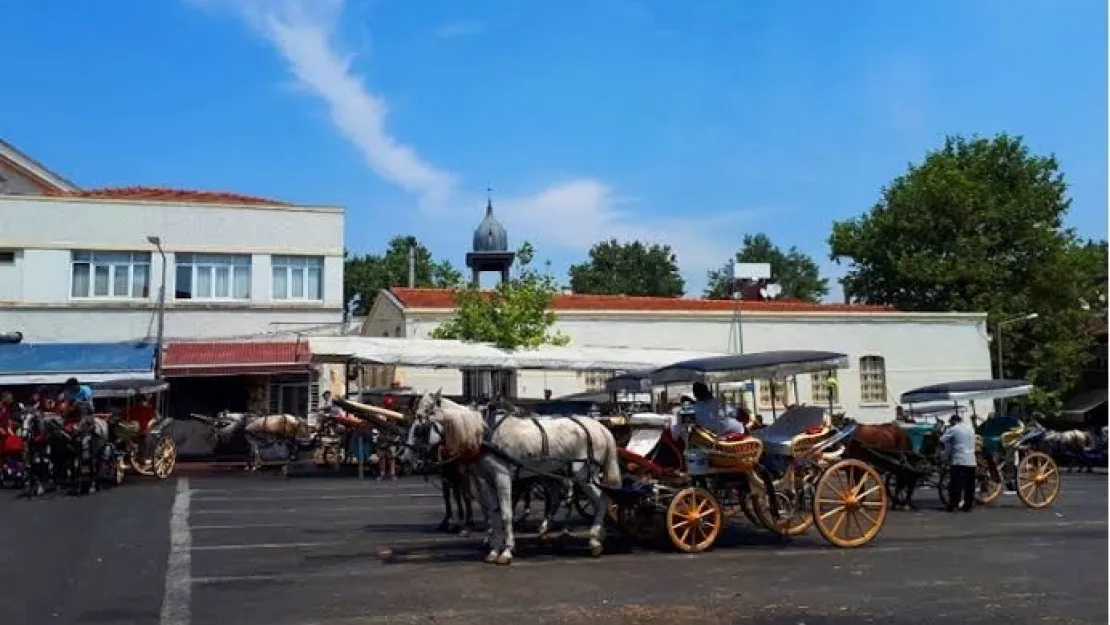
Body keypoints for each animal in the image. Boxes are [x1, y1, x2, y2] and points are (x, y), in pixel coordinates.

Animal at [415, 390, 626, 568]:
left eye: (419, 428)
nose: (413, 462)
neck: (485, 432)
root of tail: (601, 427)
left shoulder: (502, 476)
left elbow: (506, 514)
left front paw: (507, 552)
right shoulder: (487, 481)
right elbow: (494, 514)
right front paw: (493, 550)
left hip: (583, 474)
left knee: (601, 499)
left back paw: (594, 539)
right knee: (580, 499)